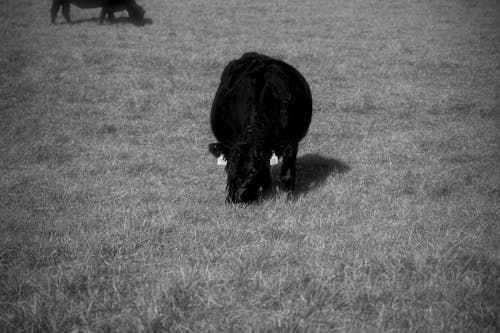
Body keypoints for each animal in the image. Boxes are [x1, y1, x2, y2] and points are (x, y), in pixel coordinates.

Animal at [208, 52, 312, 202]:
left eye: (252, 171)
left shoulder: (291, 141)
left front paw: (289, 199)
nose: (234, 199)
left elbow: (286, 175)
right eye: (228, 168)